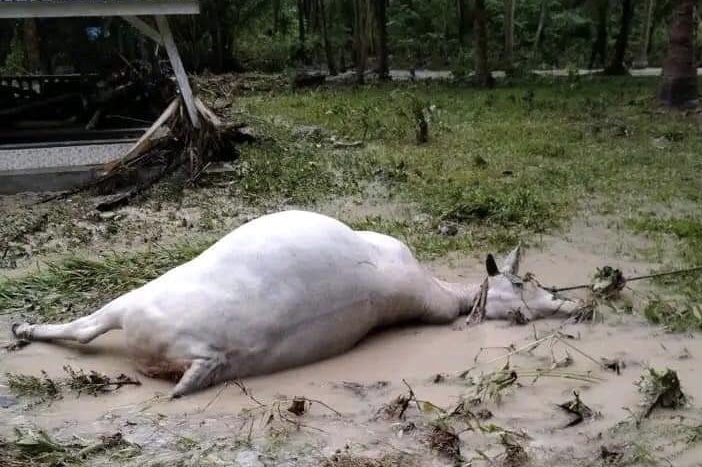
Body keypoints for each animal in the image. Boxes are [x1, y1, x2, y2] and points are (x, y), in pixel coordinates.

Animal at [12, 210, 584, 396]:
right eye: (527, 286)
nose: (575, 308)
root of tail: (206, 358)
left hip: (136, 305)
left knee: (86, 328)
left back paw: (23, 330)